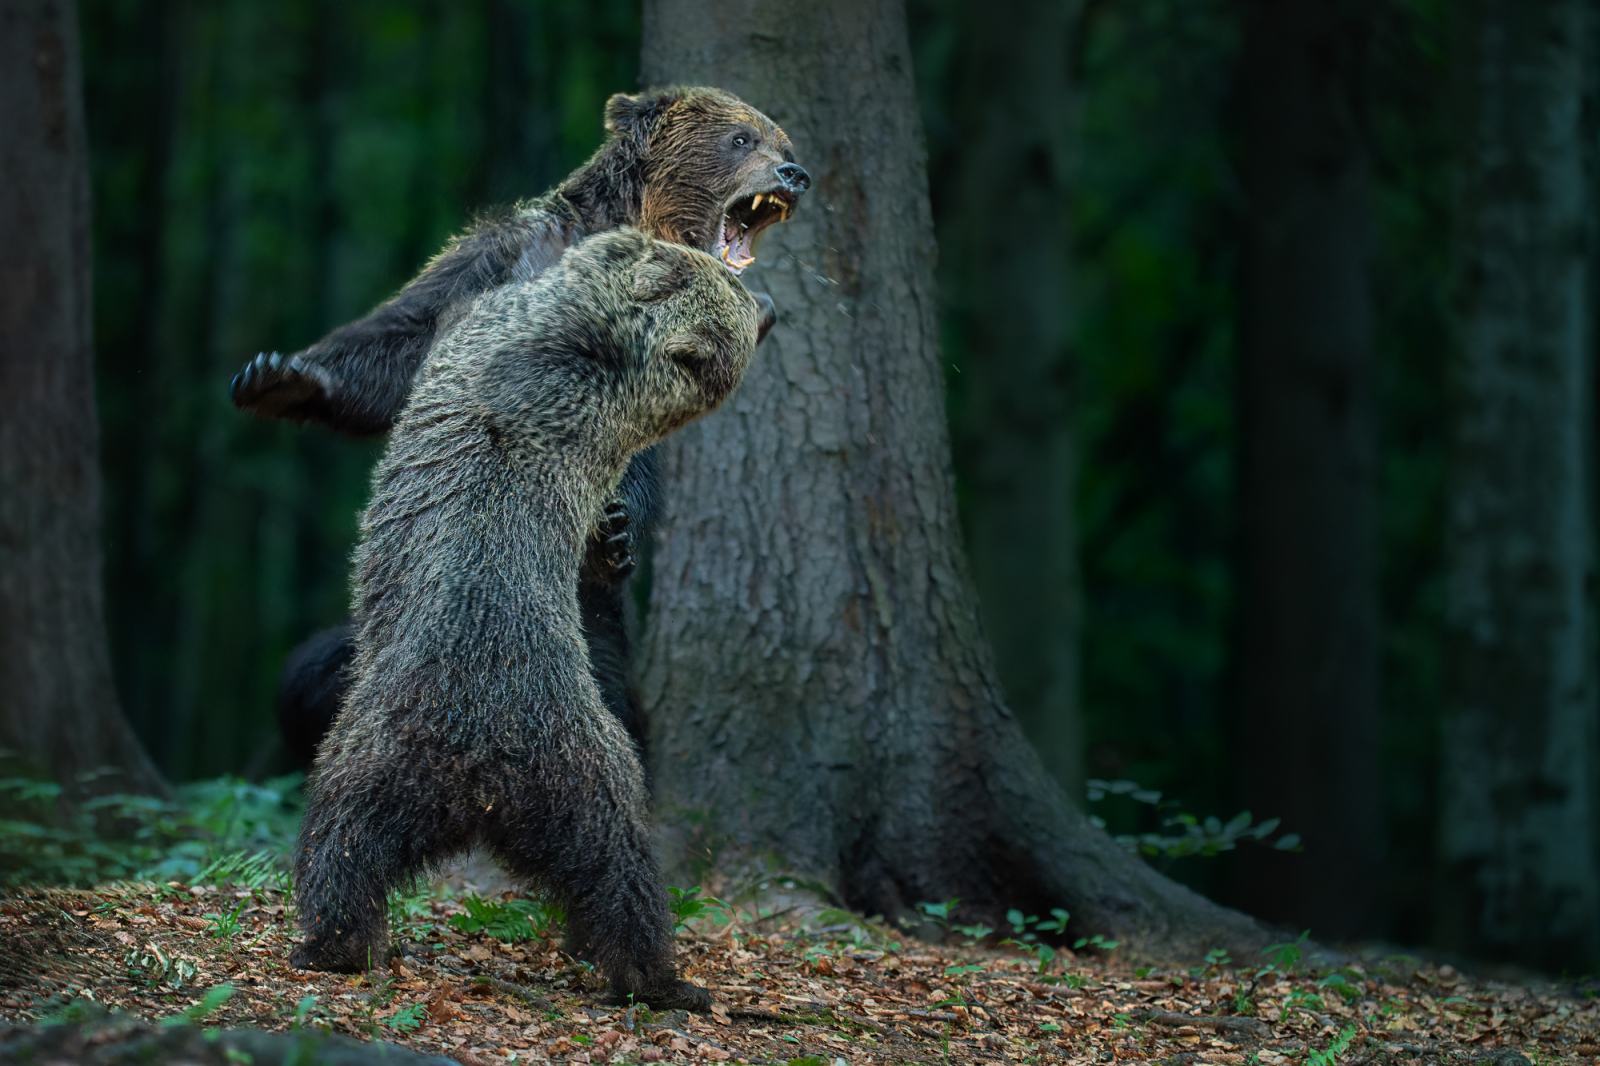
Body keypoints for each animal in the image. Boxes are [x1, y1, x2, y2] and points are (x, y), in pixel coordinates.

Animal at [233, 87, 812, 758]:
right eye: (742, 139)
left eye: (782, 141)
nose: (794, 173)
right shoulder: (500, 259)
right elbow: (405, 336)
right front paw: (281, 376)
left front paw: (617, 528)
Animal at [292, 224, 768, 1005]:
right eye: (732, 291)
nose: (767, 306)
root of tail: (490, 769)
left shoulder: (498, 334)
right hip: (539, 775)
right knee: (613, 873)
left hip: (425, 744)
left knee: (346, 839)